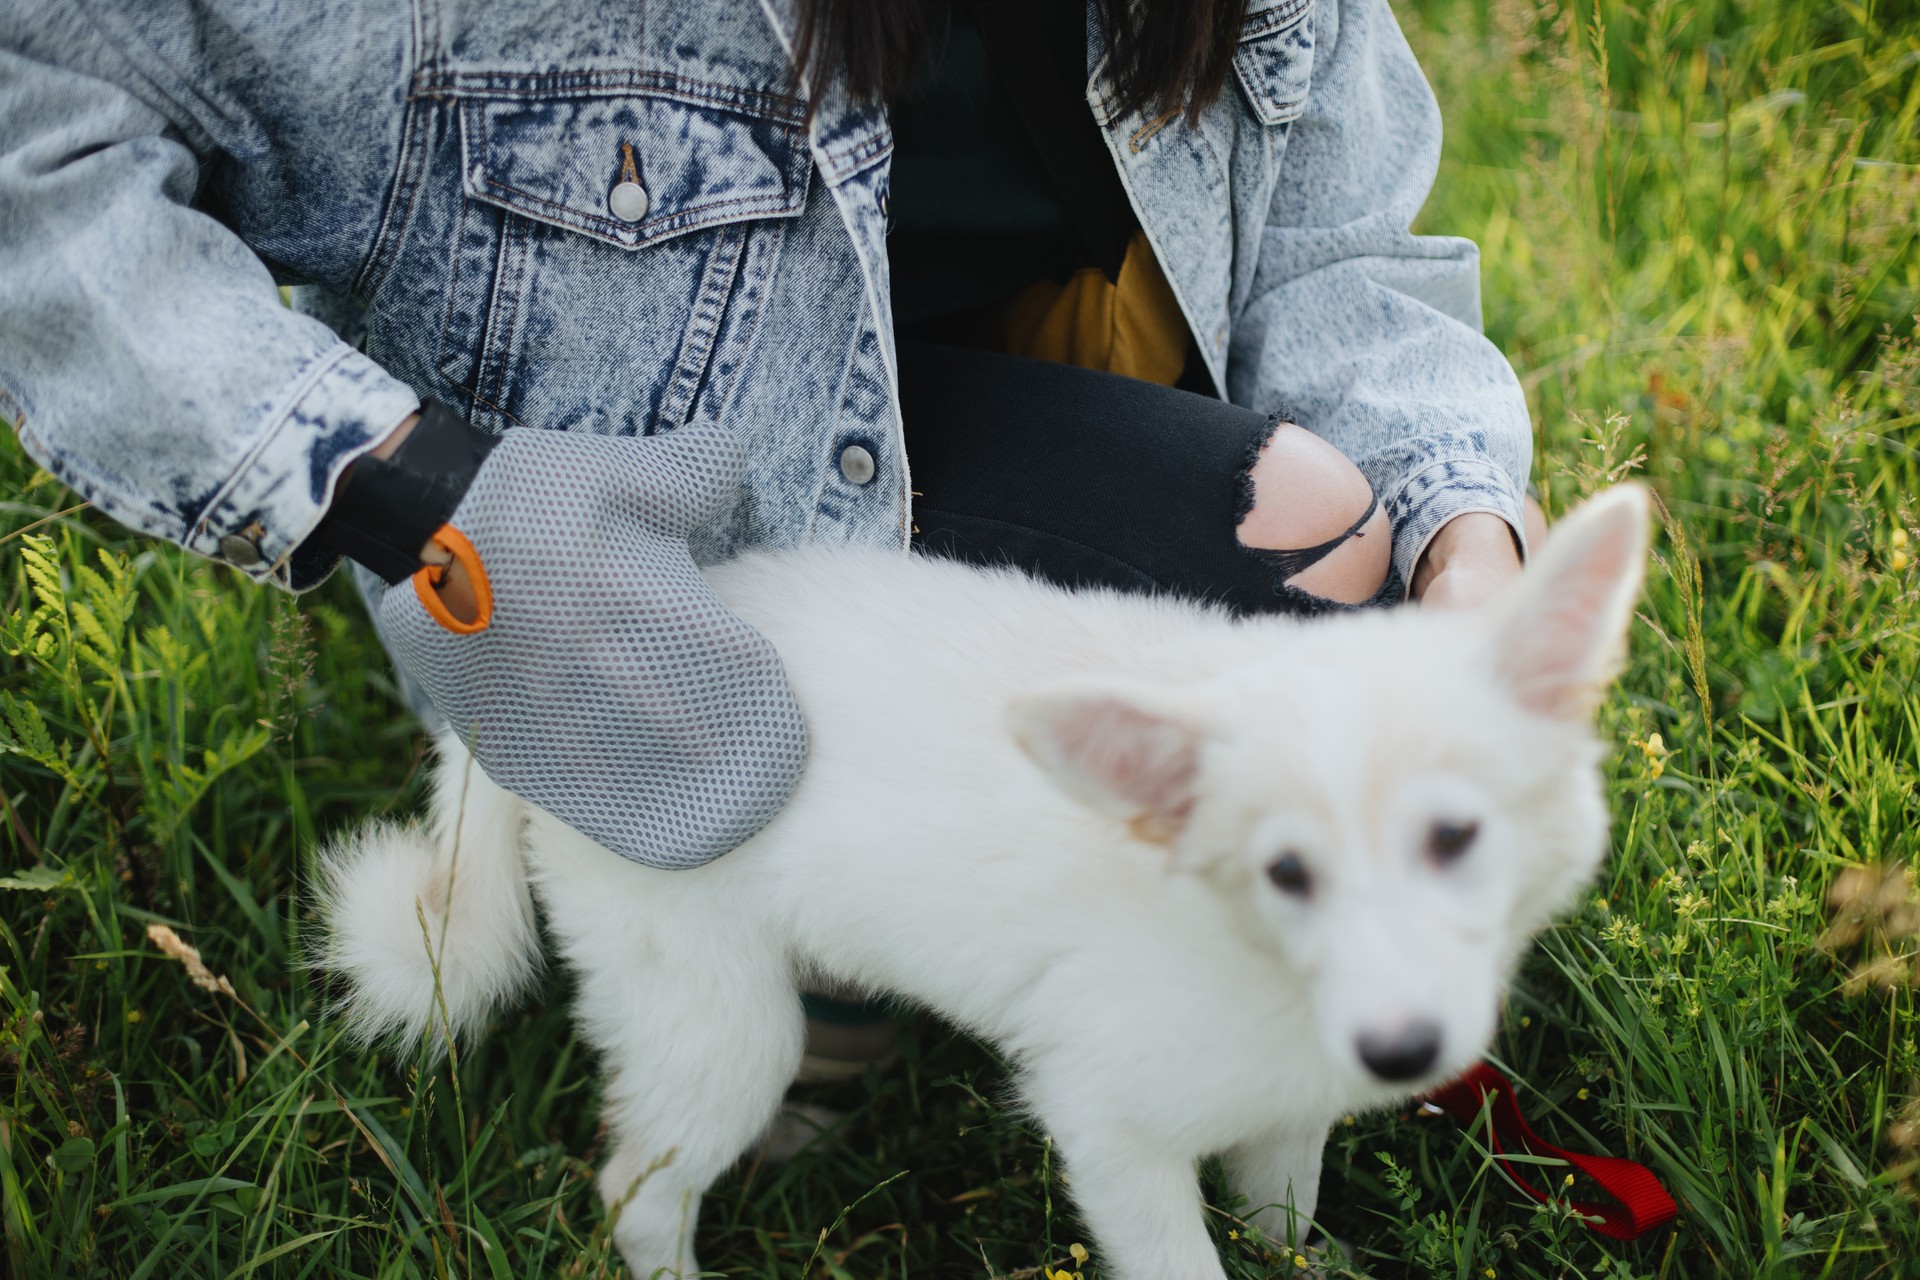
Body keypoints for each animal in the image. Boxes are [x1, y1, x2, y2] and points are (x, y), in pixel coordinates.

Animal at [318, 485, 1651, 1274]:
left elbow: (1284, 1222)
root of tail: (506, 705)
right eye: (1287, 869)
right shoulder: (1107, 1127)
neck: (1258, 962)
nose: (1404, 1047)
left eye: (1456, 836)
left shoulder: (1286, 1115)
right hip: (718, 1022)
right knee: (639, 1192)